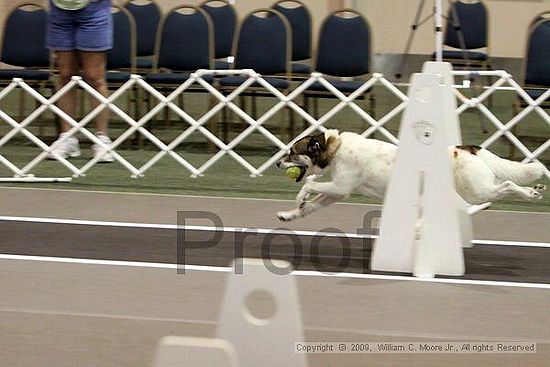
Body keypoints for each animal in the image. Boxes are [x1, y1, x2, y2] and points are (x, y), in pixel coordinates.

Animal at [276, 129, 548, 221]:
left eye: (292, 152)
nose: (277, 163)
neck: (336, 147)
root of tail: (466, 148)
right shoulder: (336, 194)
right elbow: (311, 206)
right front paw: (290, 214)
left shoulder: (340, 187)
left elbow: (309, 184)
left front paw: (300, 197)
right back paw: (533, 191)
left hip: (478, 190)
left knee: (507, 185)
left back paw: (530, 194)